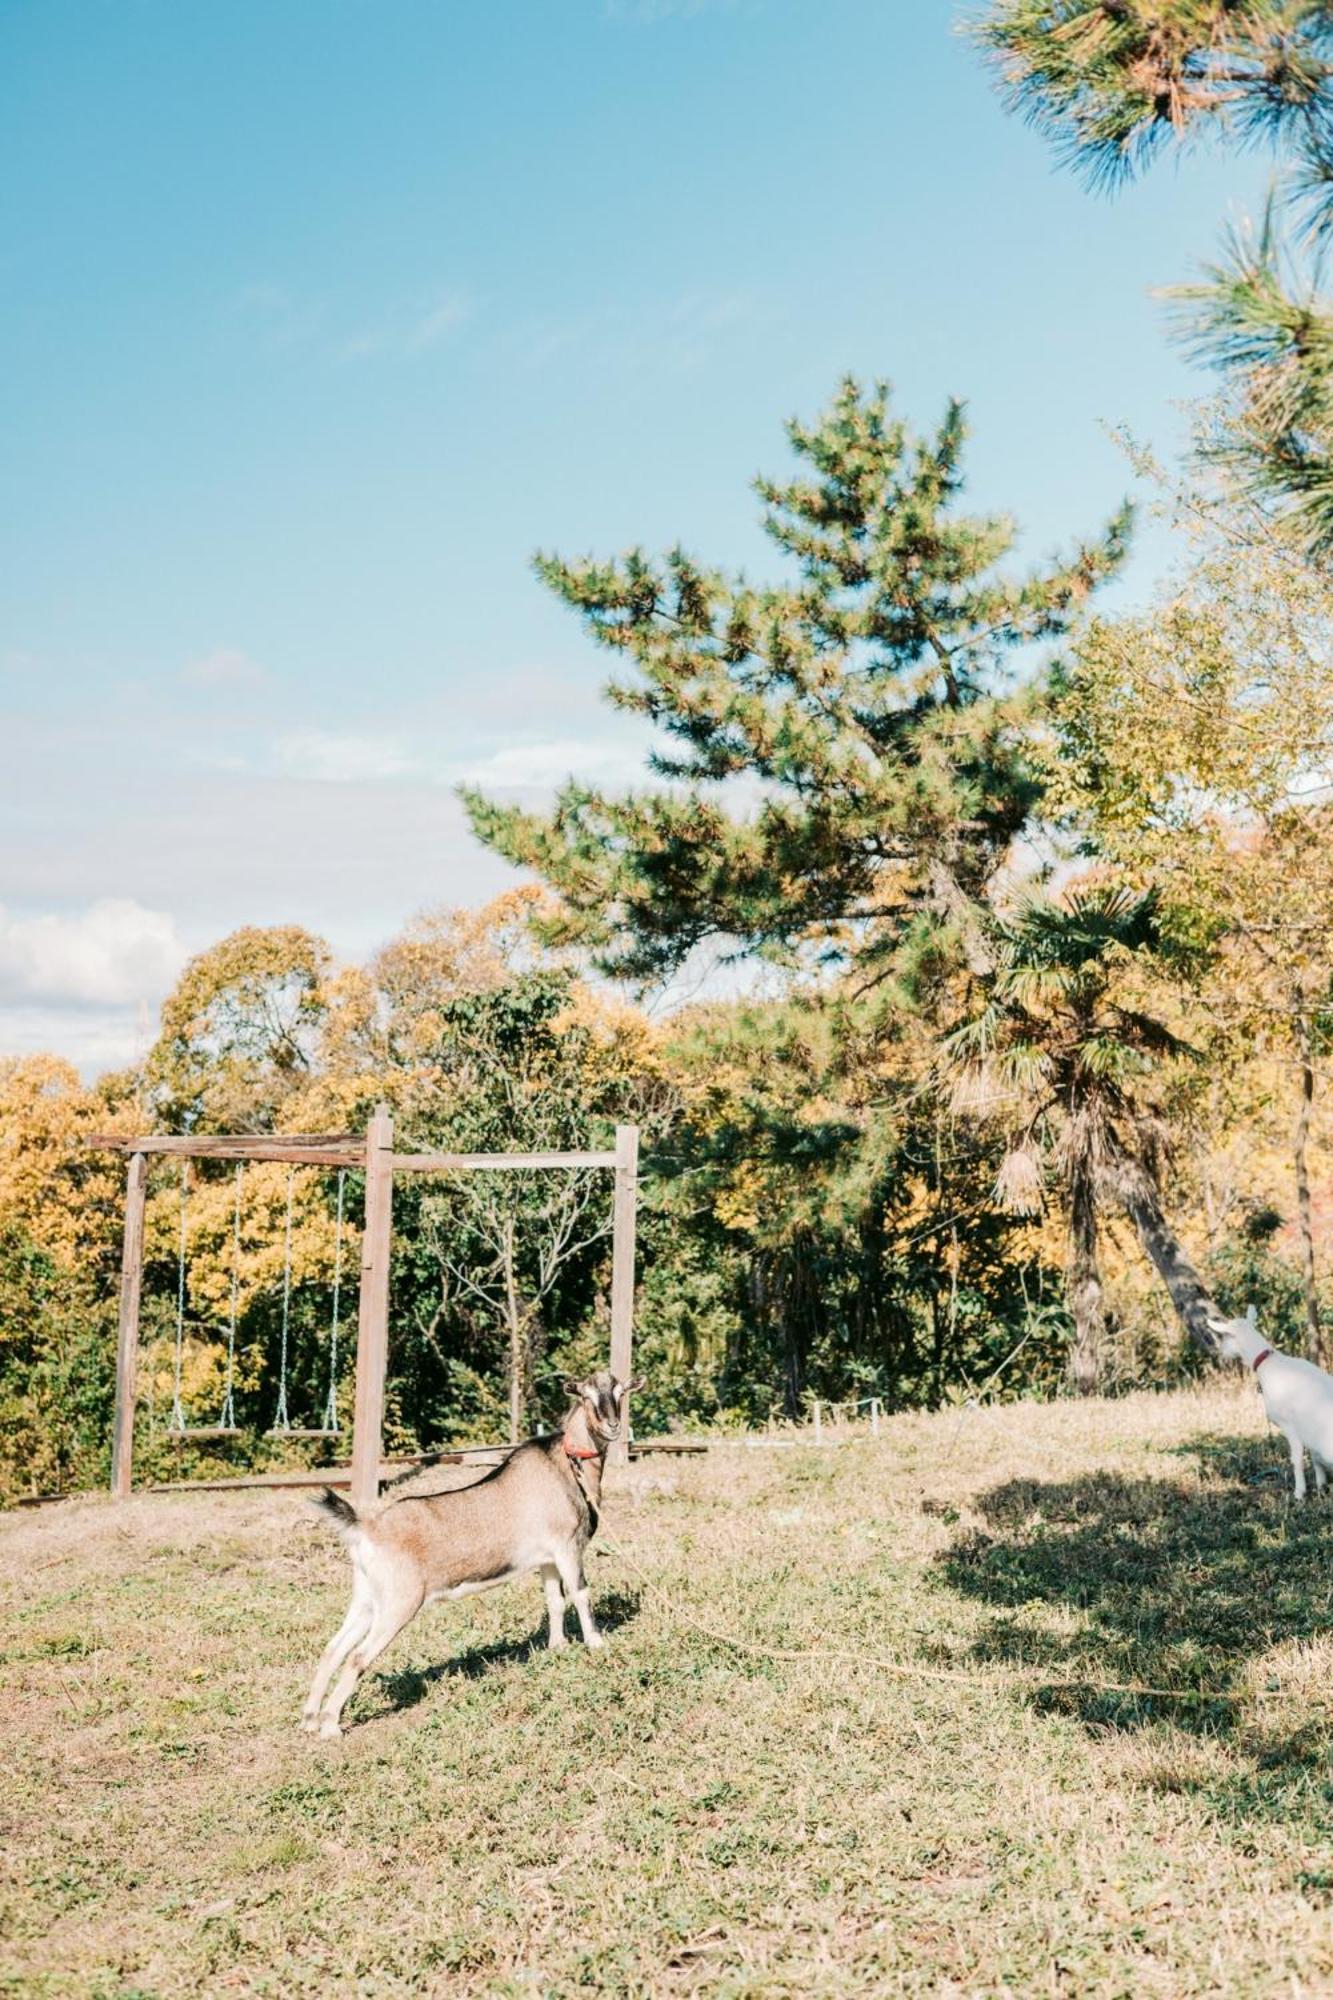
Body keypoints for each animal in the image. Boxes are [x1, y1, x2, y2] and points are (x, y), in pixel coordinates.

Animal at [1208, 1304, 1333, 1496]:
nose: (1220, 1353)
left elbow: (1296, 1458)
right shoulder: (1307, 1431)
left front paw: (1299, 1493)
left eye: (1226, 1336)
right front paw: (1321, 1485)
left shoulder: (1289, 1425)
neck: (1269, 1364)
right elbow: (1314, 1457)